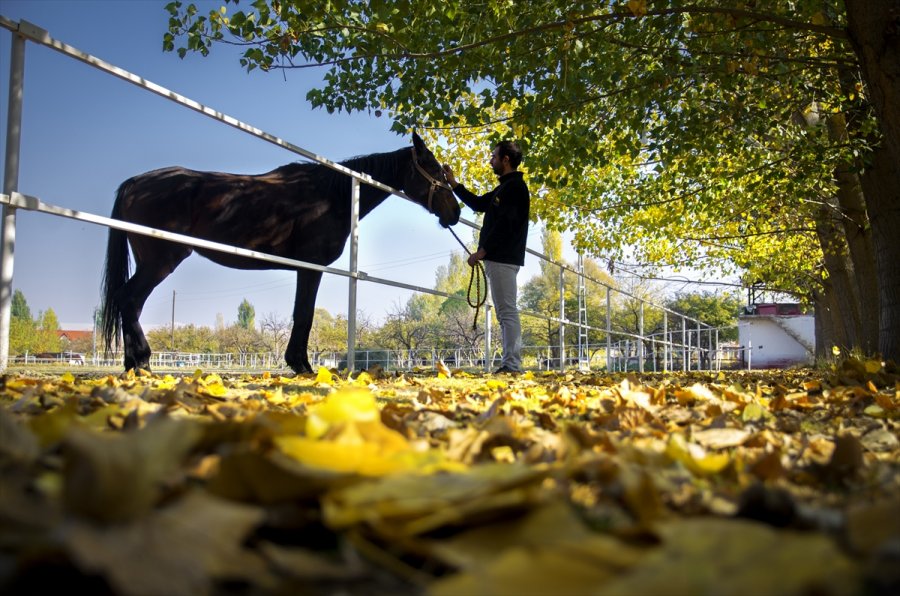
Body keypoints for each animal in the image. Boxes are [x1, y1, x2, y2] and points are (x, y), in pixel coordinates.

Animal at [102, 133, 460, 372]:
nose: (454, 212)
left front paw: (299, 363)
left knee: (129, 302)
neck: (333, 196)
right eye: (433, 168)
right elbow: (304, 315)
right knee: (129, 299)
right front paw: (302, 366)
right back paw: (142, 362)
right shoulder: (310, 267)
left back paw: (134, 363)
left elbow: (303, 315)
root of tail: (134, 183)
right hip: (160, 261)